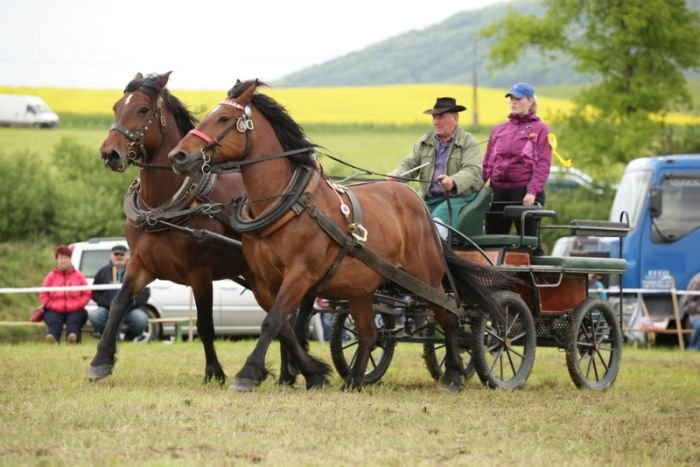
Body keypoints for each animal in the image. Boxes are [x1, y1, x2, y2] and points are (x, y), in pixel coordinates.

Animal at [90, 73, 312, 386]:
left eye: (143, 110)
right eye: (116, 107)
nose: (110, 153)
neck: (166, 206)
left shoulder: (200, 274)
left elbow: (206, 324)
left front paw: (214, 371)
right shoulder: (140, 264)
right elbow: (119, 304)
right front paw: (100, 361)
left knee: (285, 317)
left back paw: (288, 373)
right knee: (284, 319)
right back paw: (288, 374)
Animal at [168, 80, 508, 392]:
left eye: (223, 118)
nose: (178, 155)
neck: (288, 203)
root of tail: (418, 203)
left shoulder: (300, 273)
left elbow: (272, 321)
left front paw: (248, 374)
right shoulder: (264, 280)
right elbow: (284, 326)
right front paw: (312, 373)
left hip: (425, 275)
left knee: (448, 314)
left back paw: (453, 375)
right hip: (362, 287)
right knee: (370, 333)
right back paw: (355, 379)